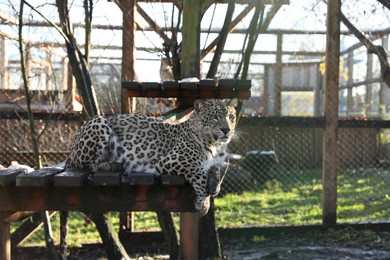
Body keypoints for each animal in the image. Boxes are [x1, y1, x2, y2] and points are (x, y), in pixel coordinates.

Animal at [65, 97, 239, 215]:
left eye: (231, 117)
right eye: (215, 117)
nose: (226, 130)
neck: (215, 145)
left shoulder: (215, 161)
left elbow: (215, 168)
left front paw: (214, 185)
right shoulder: (171, 160)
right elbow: (200, 174)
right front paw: (203, 204)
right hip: (98, 122)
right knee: (83, 163)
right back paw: (112, 165)